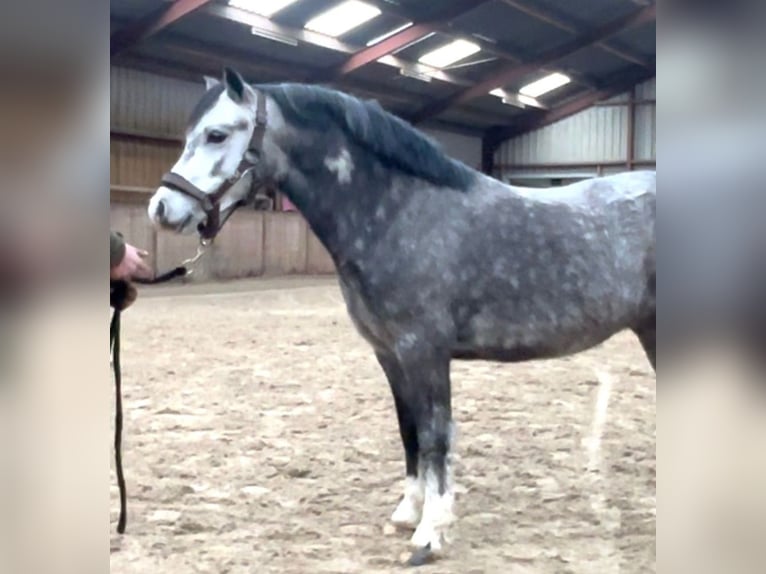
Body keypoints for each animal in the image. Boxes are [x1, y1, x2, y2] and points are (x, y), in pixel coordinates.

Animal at [147, 67, 656, 564]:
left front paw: (431, 533)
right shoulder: (390, 355)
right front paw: (409, 512)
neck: (400, 212)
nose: (161, 208)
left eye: (216, 134)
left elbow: (435, 437)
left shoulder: (424, 352)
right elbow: (408, 432)